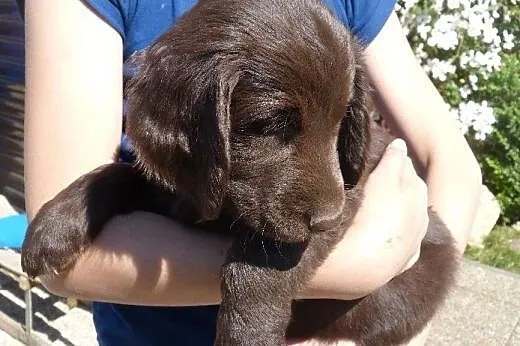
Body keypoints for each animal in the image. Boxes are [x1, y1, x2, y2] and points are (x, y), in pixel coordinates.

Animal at [21, 0, 460, 344]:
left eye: (342, 122)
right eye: (271, 124)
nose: (326, 218)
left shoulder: (350, 193)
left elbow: (257, 265)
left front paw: (247, 332)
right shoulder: (178, 185)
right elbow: (116, 173)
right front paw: (53, 225)